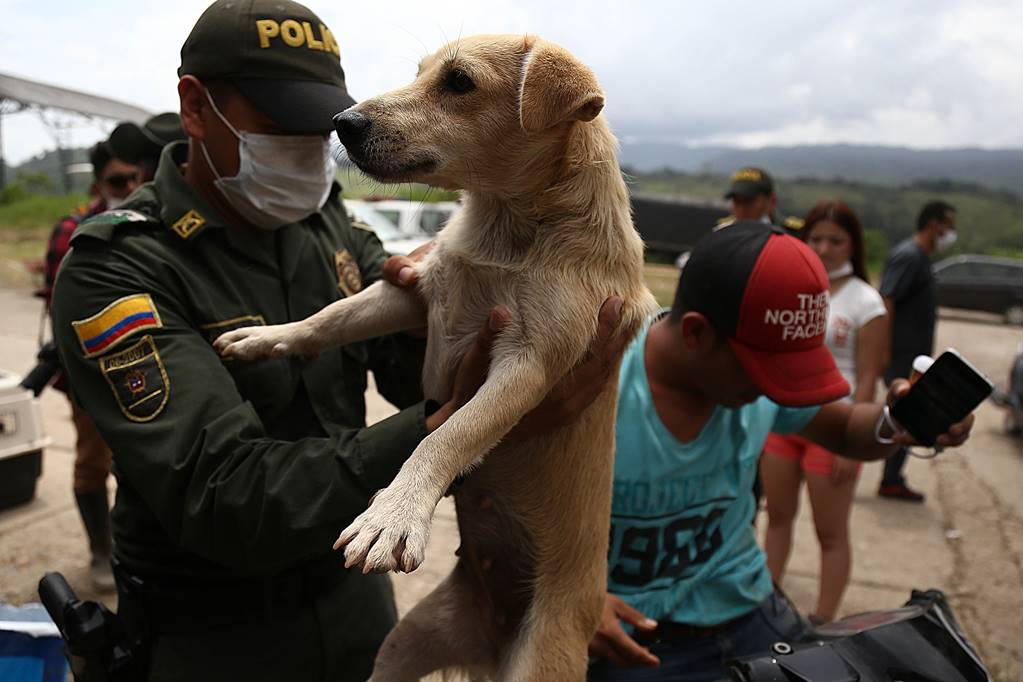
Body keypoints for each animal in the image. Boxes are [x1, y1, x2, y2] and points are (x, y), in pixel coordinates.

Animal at [219, 36, 658, 682]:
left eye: (459, 82)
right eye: (420, 72)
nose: (342, 123)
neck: (507, 227)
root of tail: (490, 644)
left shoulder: (532, 361)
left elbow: (449, 433)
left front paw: (394, 513)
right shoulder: (415, 290)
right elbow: (331, 316)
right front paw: (264, 338)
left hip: (540, 658)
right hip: (403, 646)